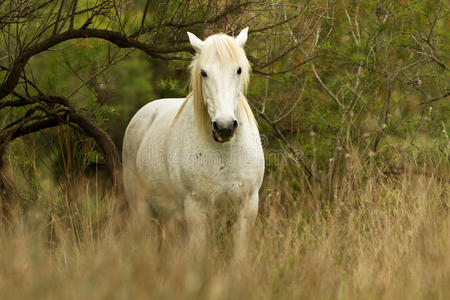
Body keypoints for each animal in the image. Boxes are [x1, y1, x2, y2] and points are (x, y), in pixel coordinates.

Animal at [122, 28, 264, 258]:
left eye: (239, 70)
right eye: (203, 73)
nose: (224, 126)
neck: (224, 155)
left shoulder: (247, 206)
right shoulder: (196, 210)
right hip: (141, 208)